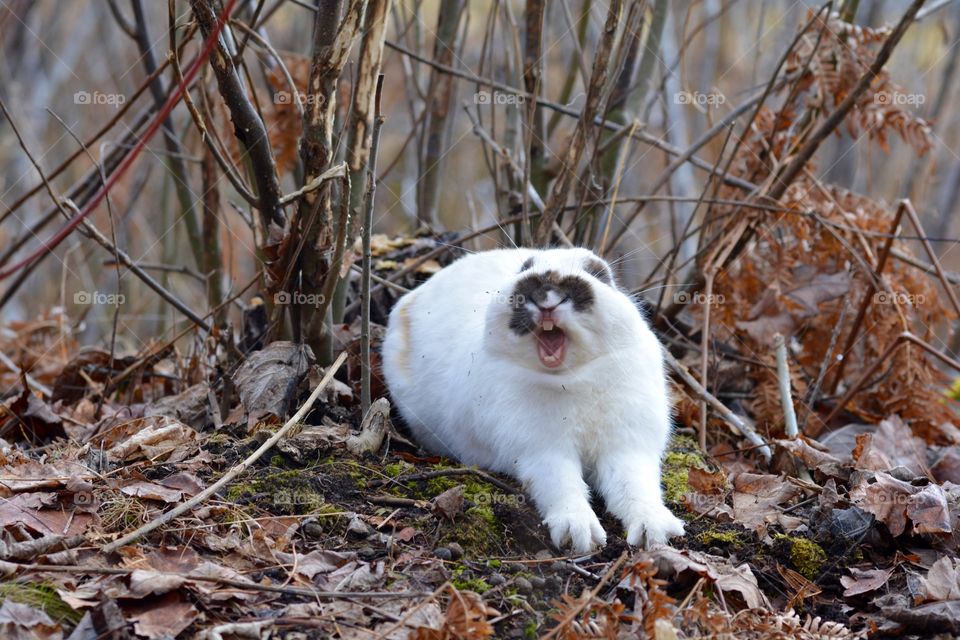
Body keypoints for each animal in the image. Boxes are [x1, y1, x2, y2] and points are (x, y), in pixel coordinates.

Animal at [381, 247, 685, 553]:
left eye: (597, 273)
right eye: (526, 268)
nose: (546, 294)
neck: (572, 377)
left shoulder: (628, 447)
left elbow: (635, 485)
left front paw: (655, 531)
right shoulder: (542, 451)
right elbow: (561, 484)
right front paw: (578, 532)